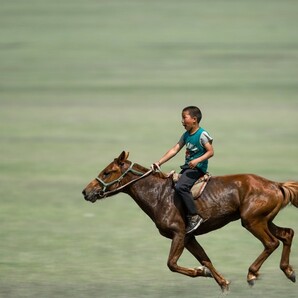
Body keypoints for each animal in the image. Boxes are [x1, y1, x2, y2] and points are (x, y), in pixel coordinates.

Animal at [82, 151, 298, 292]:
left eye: (107, 172)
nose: (86, 192)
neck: (158, 195)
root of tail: (276, 184)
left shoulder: (178, 234)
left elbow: (172, 263)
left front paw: (201, 272)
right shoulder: (189, 237)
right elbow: (205, 259)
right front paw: (221, 282)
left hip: (252, 221)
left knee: (272, 242)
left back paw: (252, 274)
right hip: (263, 220)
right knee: (287, 233)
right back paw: (289, 272)